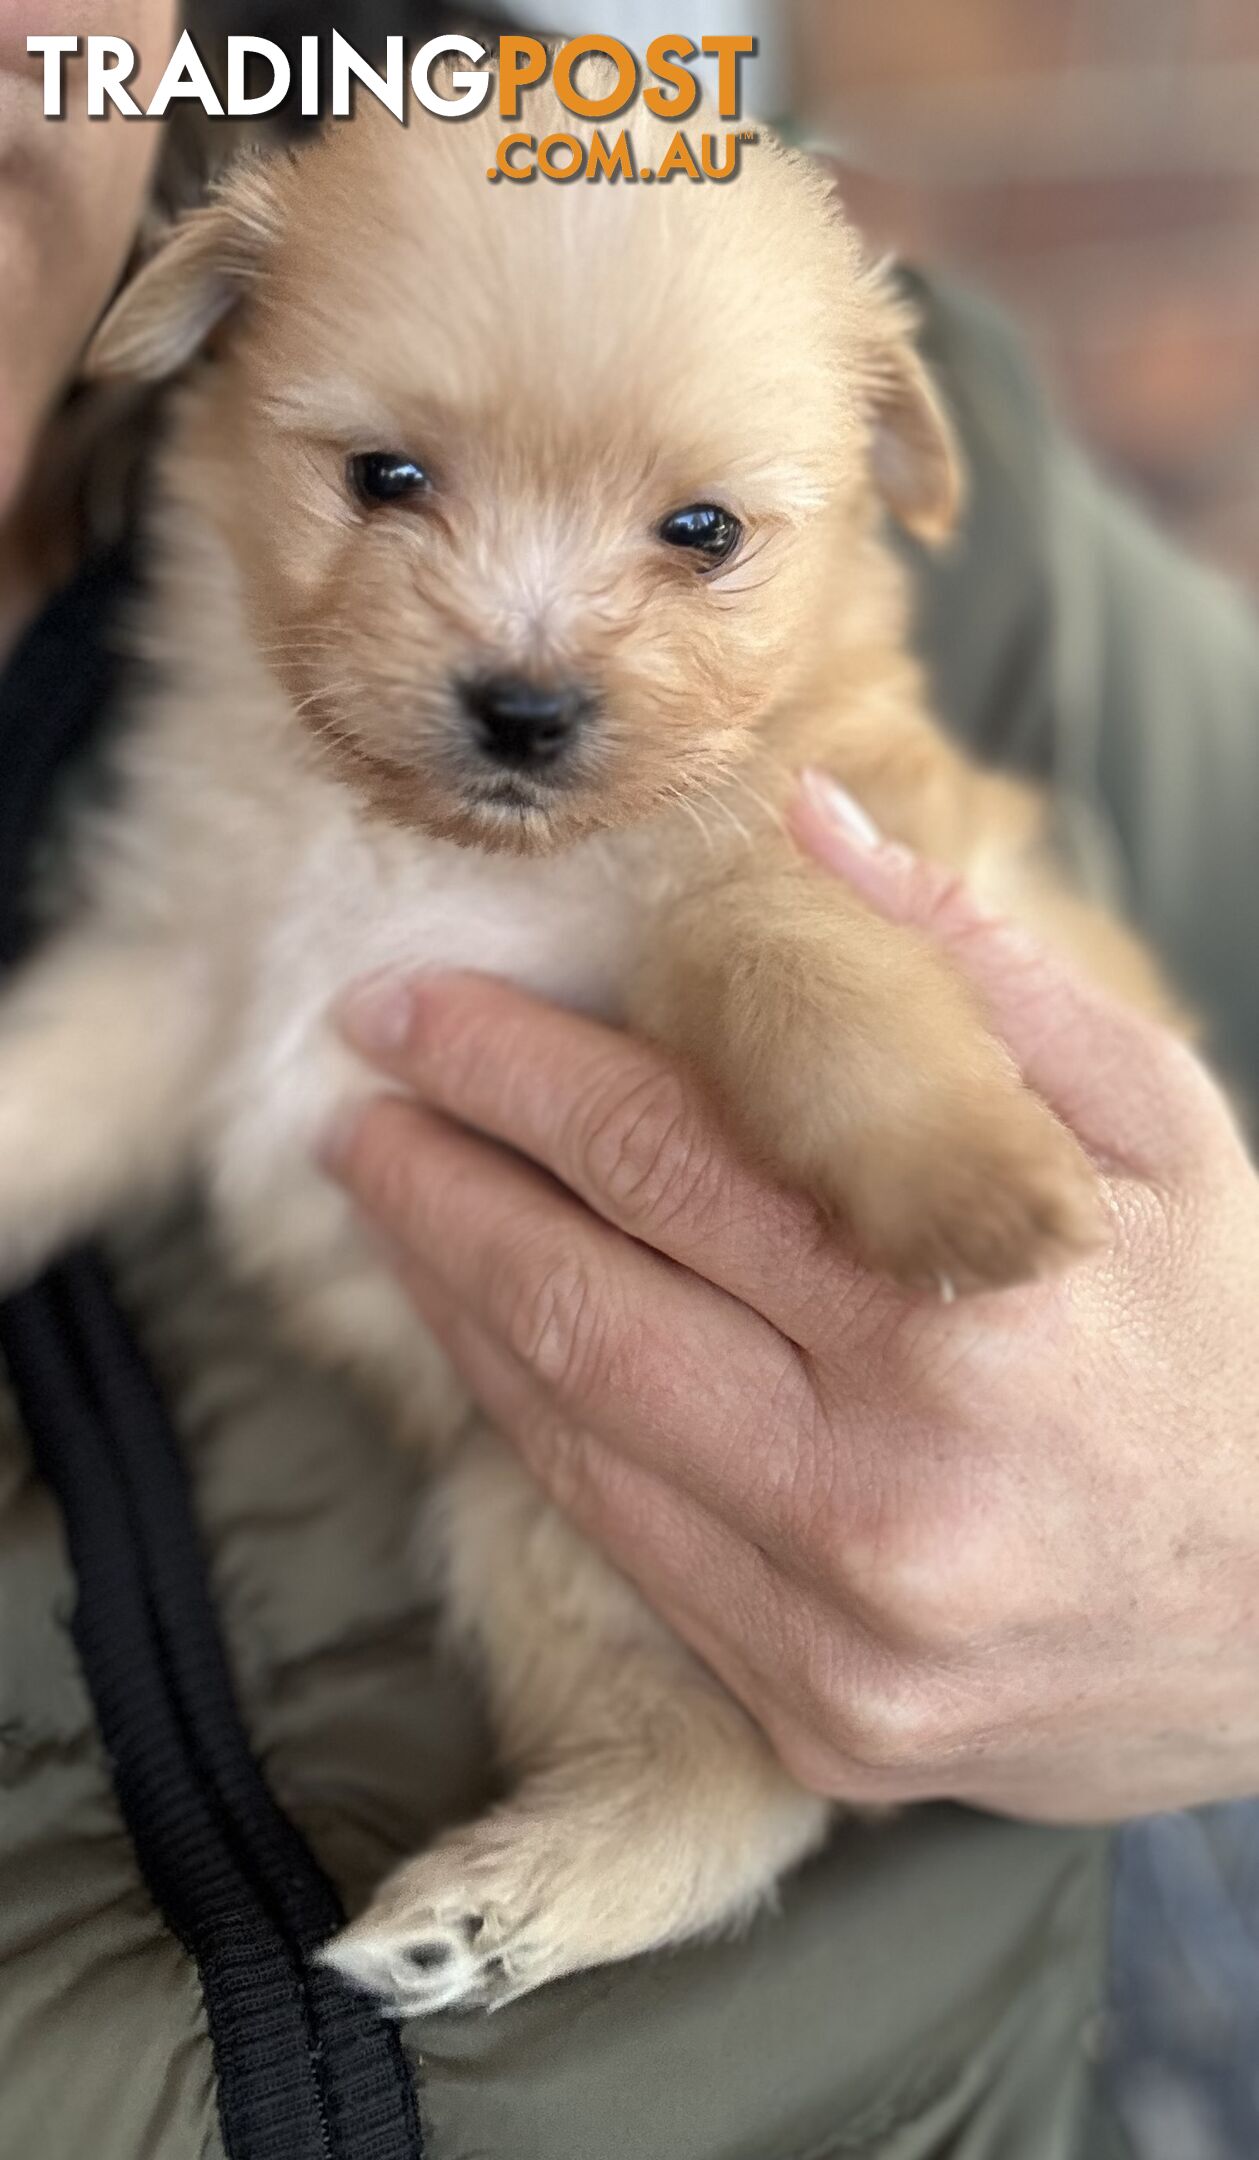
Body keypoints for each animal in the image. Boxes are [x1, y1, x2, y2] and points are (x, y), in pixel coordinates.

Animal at [0, 84, 1166, 2004]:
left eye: (700, 531)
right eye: (383, 477)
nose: (525, 710)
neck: (427, 861)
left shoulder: (766, 867)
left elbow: (801, 981)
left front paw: (970, 1178)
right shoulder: (183, 979)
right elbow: (39, 1093)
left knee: (751, 1784)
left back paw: (490, 1905)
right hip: (529, 1513)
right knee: (725, 1776)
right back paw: (487, 1911)